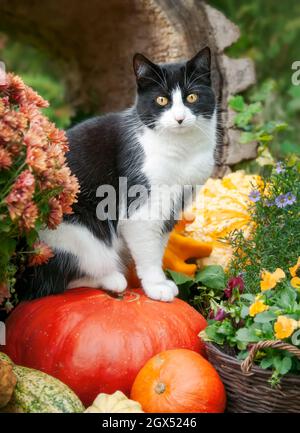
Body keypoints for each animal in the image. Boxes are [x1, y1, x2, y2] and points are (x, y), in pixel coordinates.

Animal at [22, 47, 217, 302]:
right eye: (161, 100)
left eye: (192, 97)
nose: (179, 119)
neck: (183, 151)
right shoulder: (140, 204)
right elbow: (148, 248)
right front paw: (156, 285)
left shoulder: (174, 204)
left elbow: (159, 244)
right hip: (74, 236)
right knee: (56, 283)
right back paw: (112, 279)